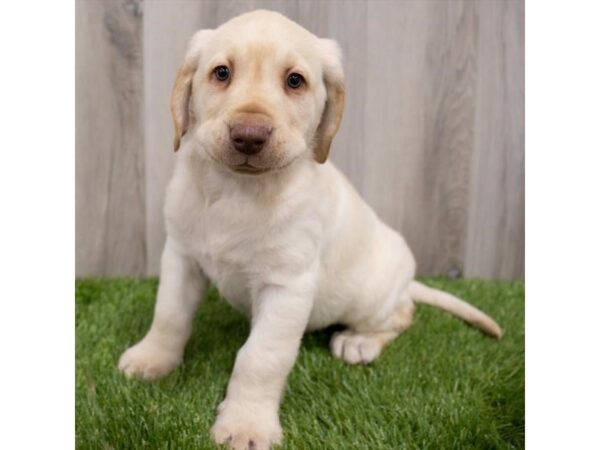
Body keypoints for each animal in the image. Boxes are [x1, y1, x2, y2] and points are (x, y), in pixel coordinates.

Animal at [118, 10, 502, 450]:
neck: (237, 190)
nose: (248, 135)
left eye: (295, 81)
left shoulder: (287, 287)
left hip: (372, 298)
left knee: (403, 314)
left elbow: (260, 357)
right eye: (221, 73)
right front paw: (152, 359)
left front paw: (247, 423)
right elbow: (169, 315)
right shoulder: (181, 256)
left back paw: (359, 340)